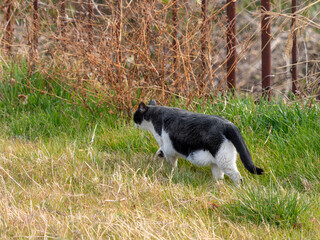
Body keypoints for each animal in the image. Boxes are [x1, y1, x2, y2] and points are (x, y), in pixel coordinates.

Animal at [132, 99, 262, 186]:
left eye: (135, 116)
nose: (134, 123)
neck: (156, 116)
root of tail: (228, 125)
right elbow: (160, 152)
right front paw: (159, 155)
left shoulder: (168, 148)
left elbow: (172, 164)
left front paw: (171, 172)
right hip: (217, 163)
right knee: (219, 177)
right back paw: (216, 186)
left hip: (224, 160)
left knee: (237, 176)